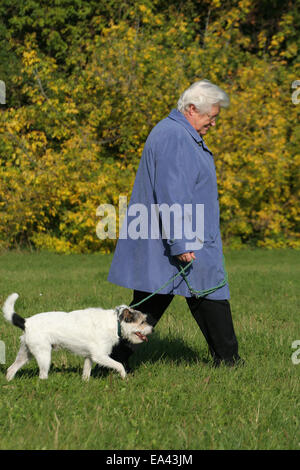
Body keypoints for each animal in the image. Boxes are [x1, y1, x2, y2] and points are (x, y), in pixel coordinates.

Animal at [1, 294, 152, 382]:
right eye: (142, 322)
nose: (153, 329)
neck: (115, 323)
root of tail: (26, 322)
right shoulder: (99, 356)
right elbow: (119, 365)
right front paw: (124, 376)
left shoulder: (89, 357)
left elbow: (86, 372)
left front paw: (85, 383)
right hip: (43, 355)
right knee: (42, 375)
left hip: (25, 354)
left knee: (11, 369)